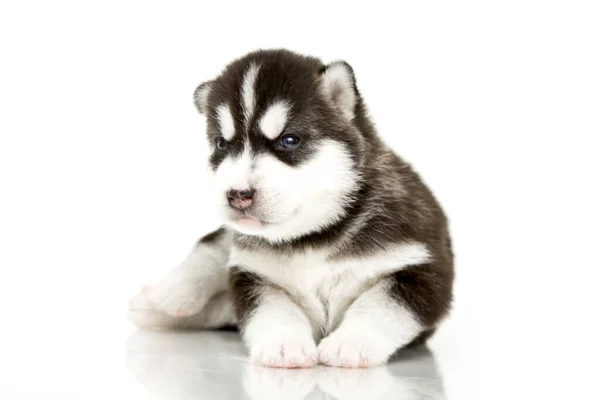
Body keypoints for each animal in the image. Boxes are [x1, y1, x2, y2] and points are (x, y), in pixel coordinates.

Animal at [127, 50, 454, 368]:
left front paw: (351, 343)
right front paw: (284, 346)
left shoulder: (422, 267)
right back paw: (165, 296)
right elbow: (275, 310)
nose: (237, 195)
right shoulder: (253, 273)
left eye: (289, 140)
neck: (313, 238)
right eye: (221, 144)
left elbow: (378, 306)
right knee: (215, 242)